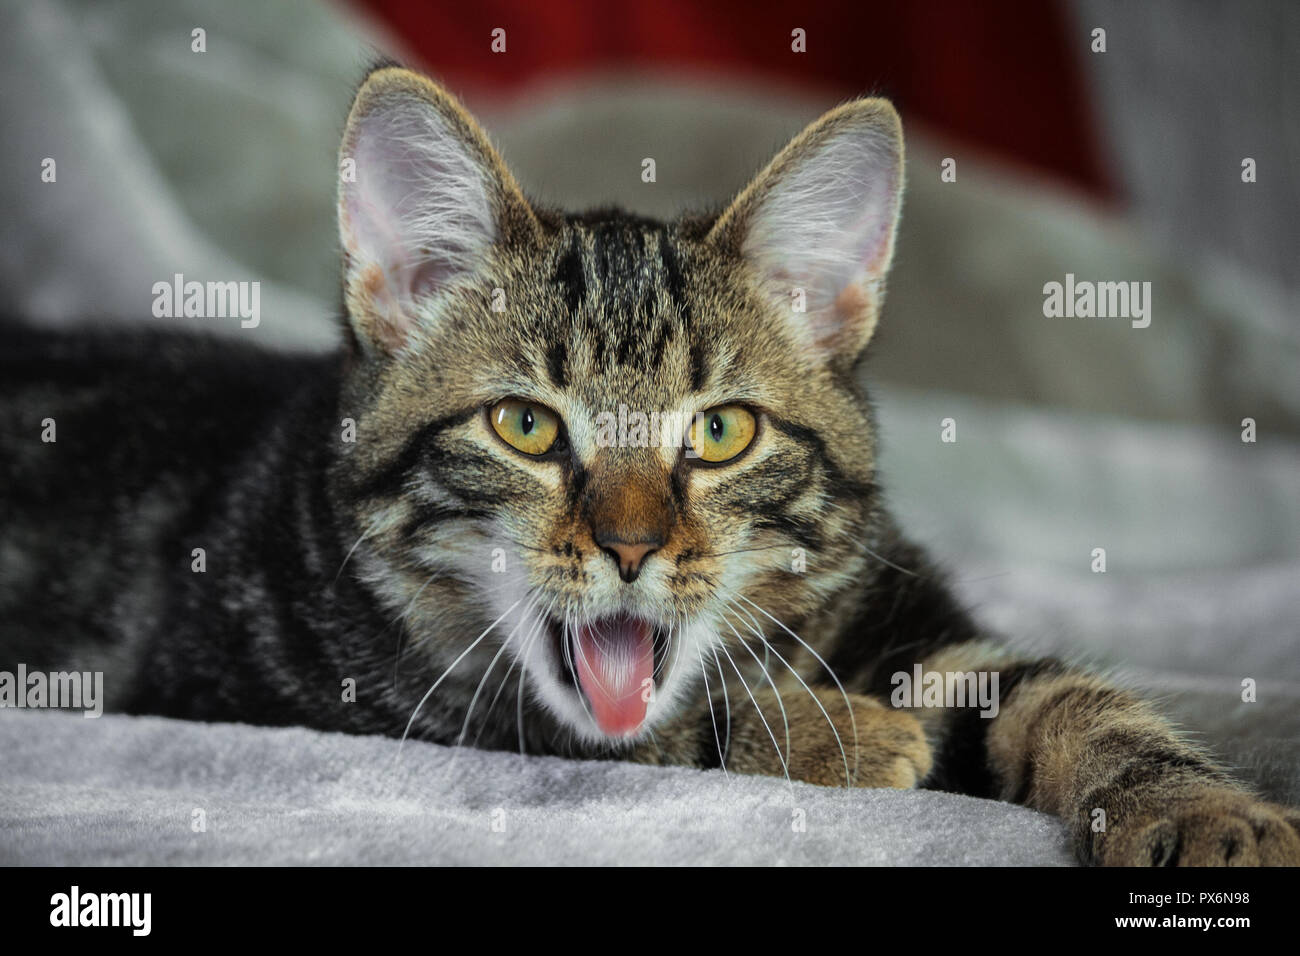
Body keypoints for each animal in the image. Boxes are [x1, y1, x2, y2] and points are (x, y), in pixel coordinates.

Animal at [2, 67, 1300, 868]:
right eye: (526, 426)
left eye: (721, 432)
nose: (630, 544)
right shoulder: (309, 697)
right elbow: (621, 731)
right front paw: (832, 731)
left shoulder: (913, 611)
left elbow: (1073, 694)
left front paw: (1206, 809)